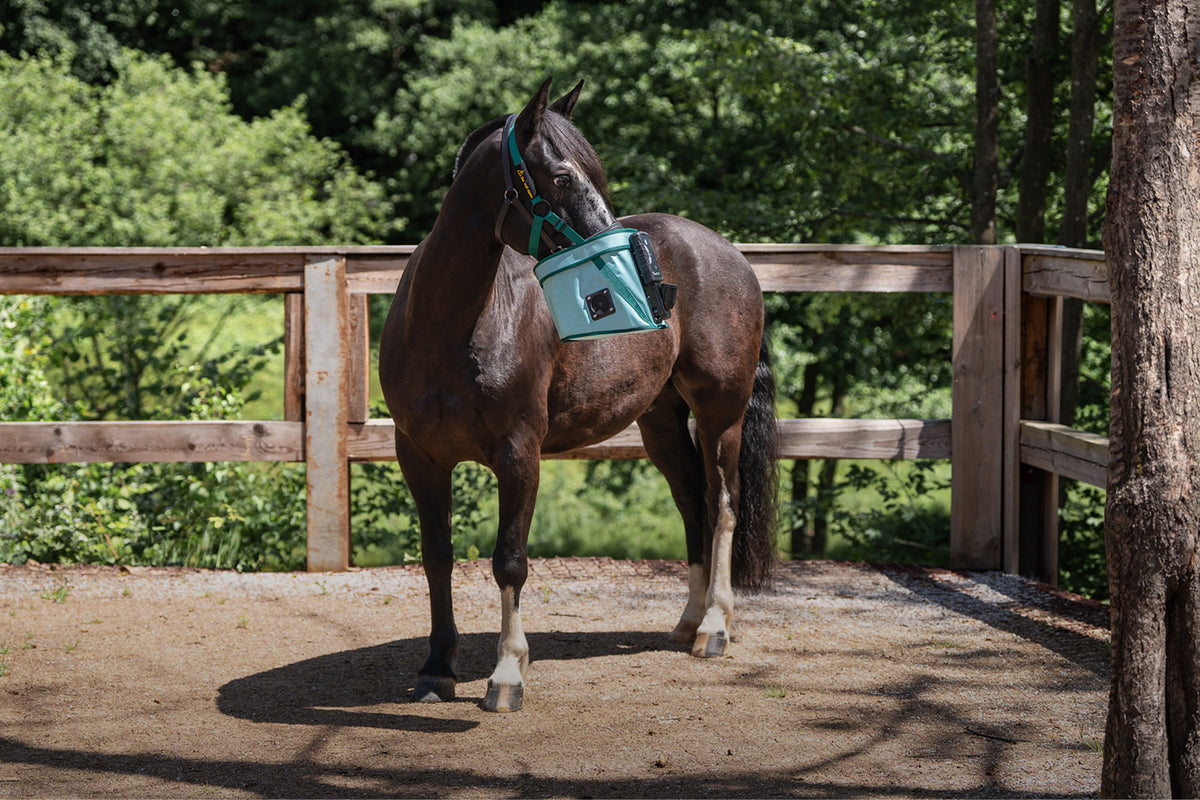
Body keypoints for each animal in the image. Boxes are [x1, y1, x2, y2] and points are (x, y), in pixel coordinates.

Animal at [379, 78, 777, 713]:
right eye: (563, 177)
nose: (646, 282)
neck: (451, 328)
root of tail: (726, 251)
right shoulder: (418, 456)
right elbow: (437, 557)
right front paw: (437, 668)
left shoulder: (519, 453)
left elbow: (509, 561)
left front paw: (507, 674)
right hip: (660, 422)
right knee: (692, 502)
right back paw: (687, 622)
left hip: (722, 415)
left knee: (723, 505)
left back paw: (714, 627)